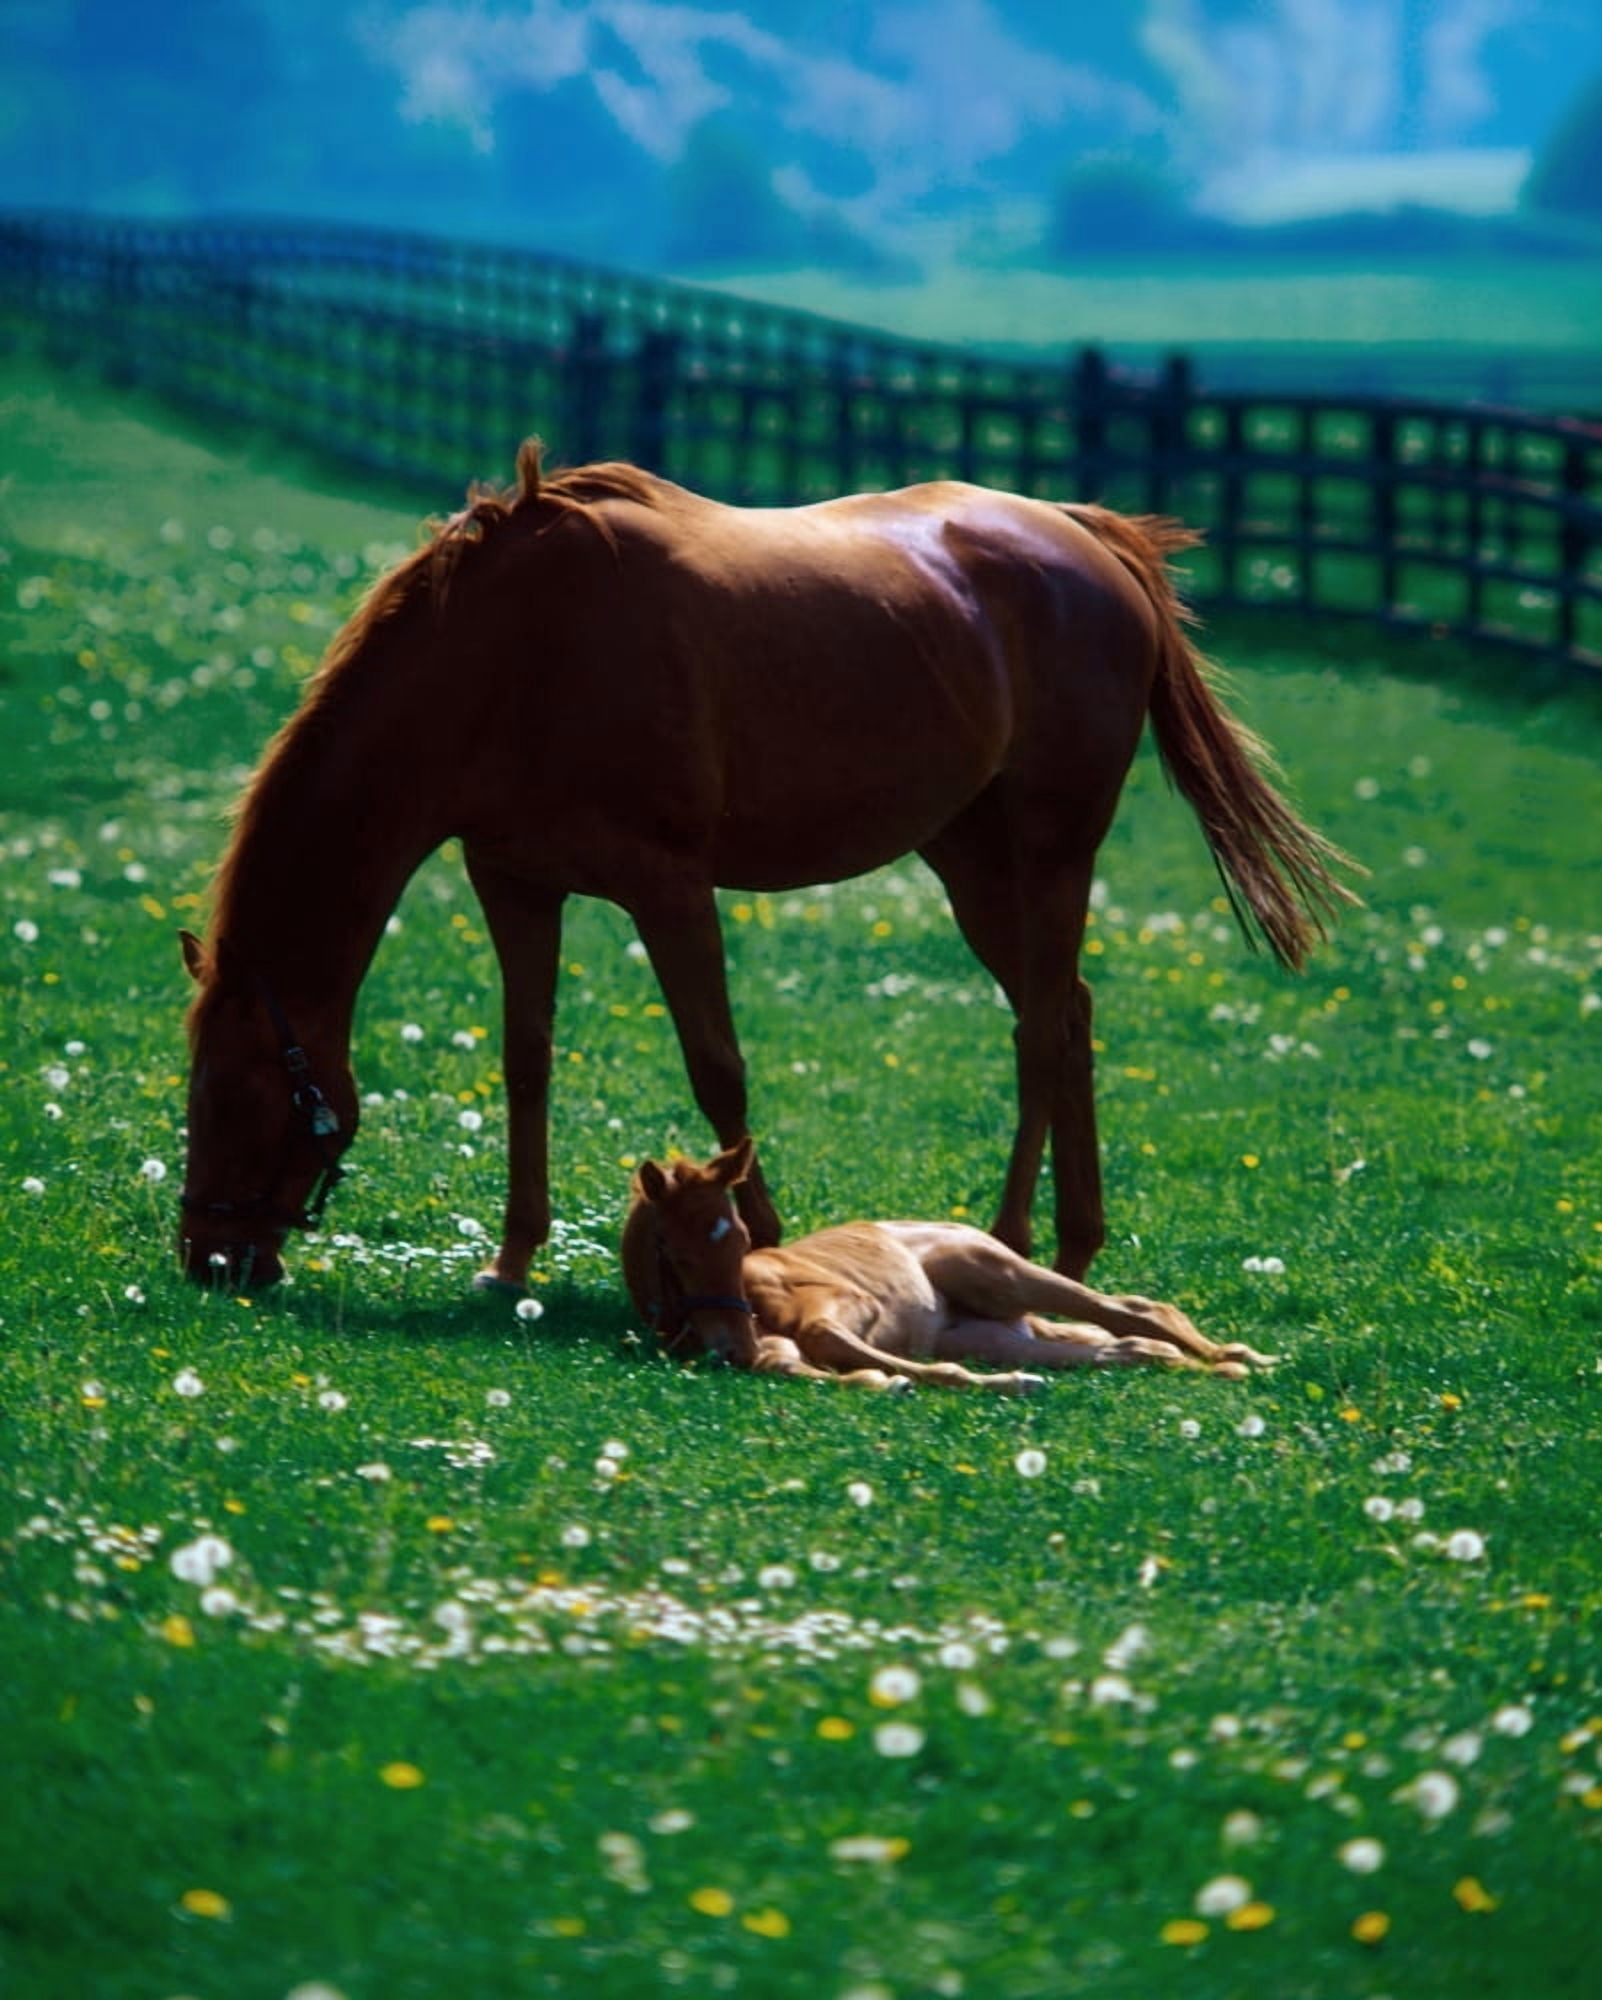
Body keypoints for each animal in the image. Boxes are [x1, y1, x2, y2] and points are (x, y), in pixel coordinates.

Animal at [178, 440, 1355, 1290]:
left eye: (236, 1092)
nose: (209, 1259)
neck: (511, 655)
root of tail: (1087, 535)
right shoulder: (515, 883)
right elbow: (527, 1060)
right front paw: (511, 1259)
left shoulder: (668, 885)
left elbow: (718, 1068)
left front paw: (764, 1238)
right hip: (970, 862)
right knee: (1063, 1008)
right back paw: (1070, 1245)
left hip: (1051, 848)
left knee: (1039, 1030)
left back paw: (1018, 1238)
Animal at [622, 1139, 1277, 1388]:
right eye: (676, 1254)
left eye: (740, 1241)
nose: (730, 1344)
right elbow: (786, 1361)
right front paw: (878, 1382)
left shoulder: (848, 1305)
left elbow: (829, 1340)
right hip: (997, 1334)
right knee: (1126, 1347)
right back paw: (1215, 1364)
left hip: (998, 1277)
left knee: (1139, 1311)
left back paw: (1243, 1359)